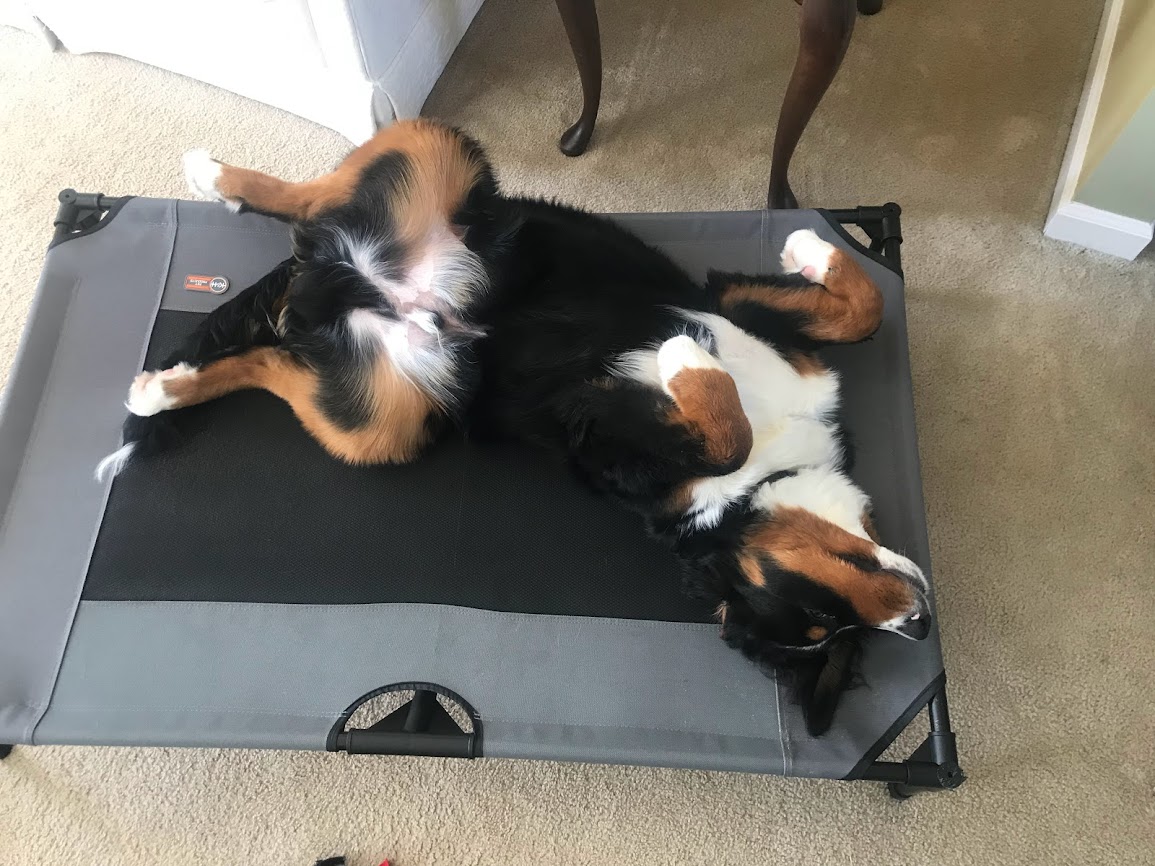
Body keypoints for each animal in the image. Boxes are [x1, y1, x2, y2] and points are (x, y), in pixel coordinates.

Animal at [97, 118, 928, 734]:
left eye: (826, 635)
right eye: (816, 616)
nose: (920, 624)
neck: (767, 480)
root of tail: (332, 285)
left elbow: (841, 330)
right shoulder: (712, 327)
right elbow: (839, 327)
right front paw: (798, 255)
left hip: (384, 419)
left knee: (271, 358)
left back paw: (165, 386)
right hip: (437, 153)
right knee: (309, 202)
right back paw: (215, 181)